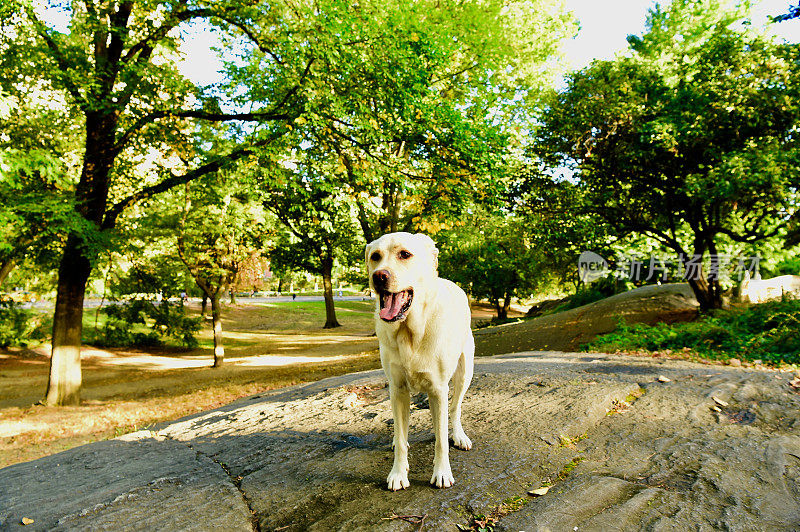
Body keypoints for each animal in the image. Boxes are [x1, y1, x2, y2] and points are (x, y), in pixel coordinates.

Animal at [364, 233, 472, 490]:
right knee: (400, 426)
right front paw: (398, 473)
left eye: (405, 254)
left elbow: (441, 440)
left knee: (455, 408)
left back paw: (459, 435)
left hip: (465, 373)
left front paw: (442, 472)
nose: (379, 276)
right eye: (375, 256)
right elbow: (402, 436)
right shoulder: (398, 388)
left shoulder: (438, 389)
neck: (409, 332)